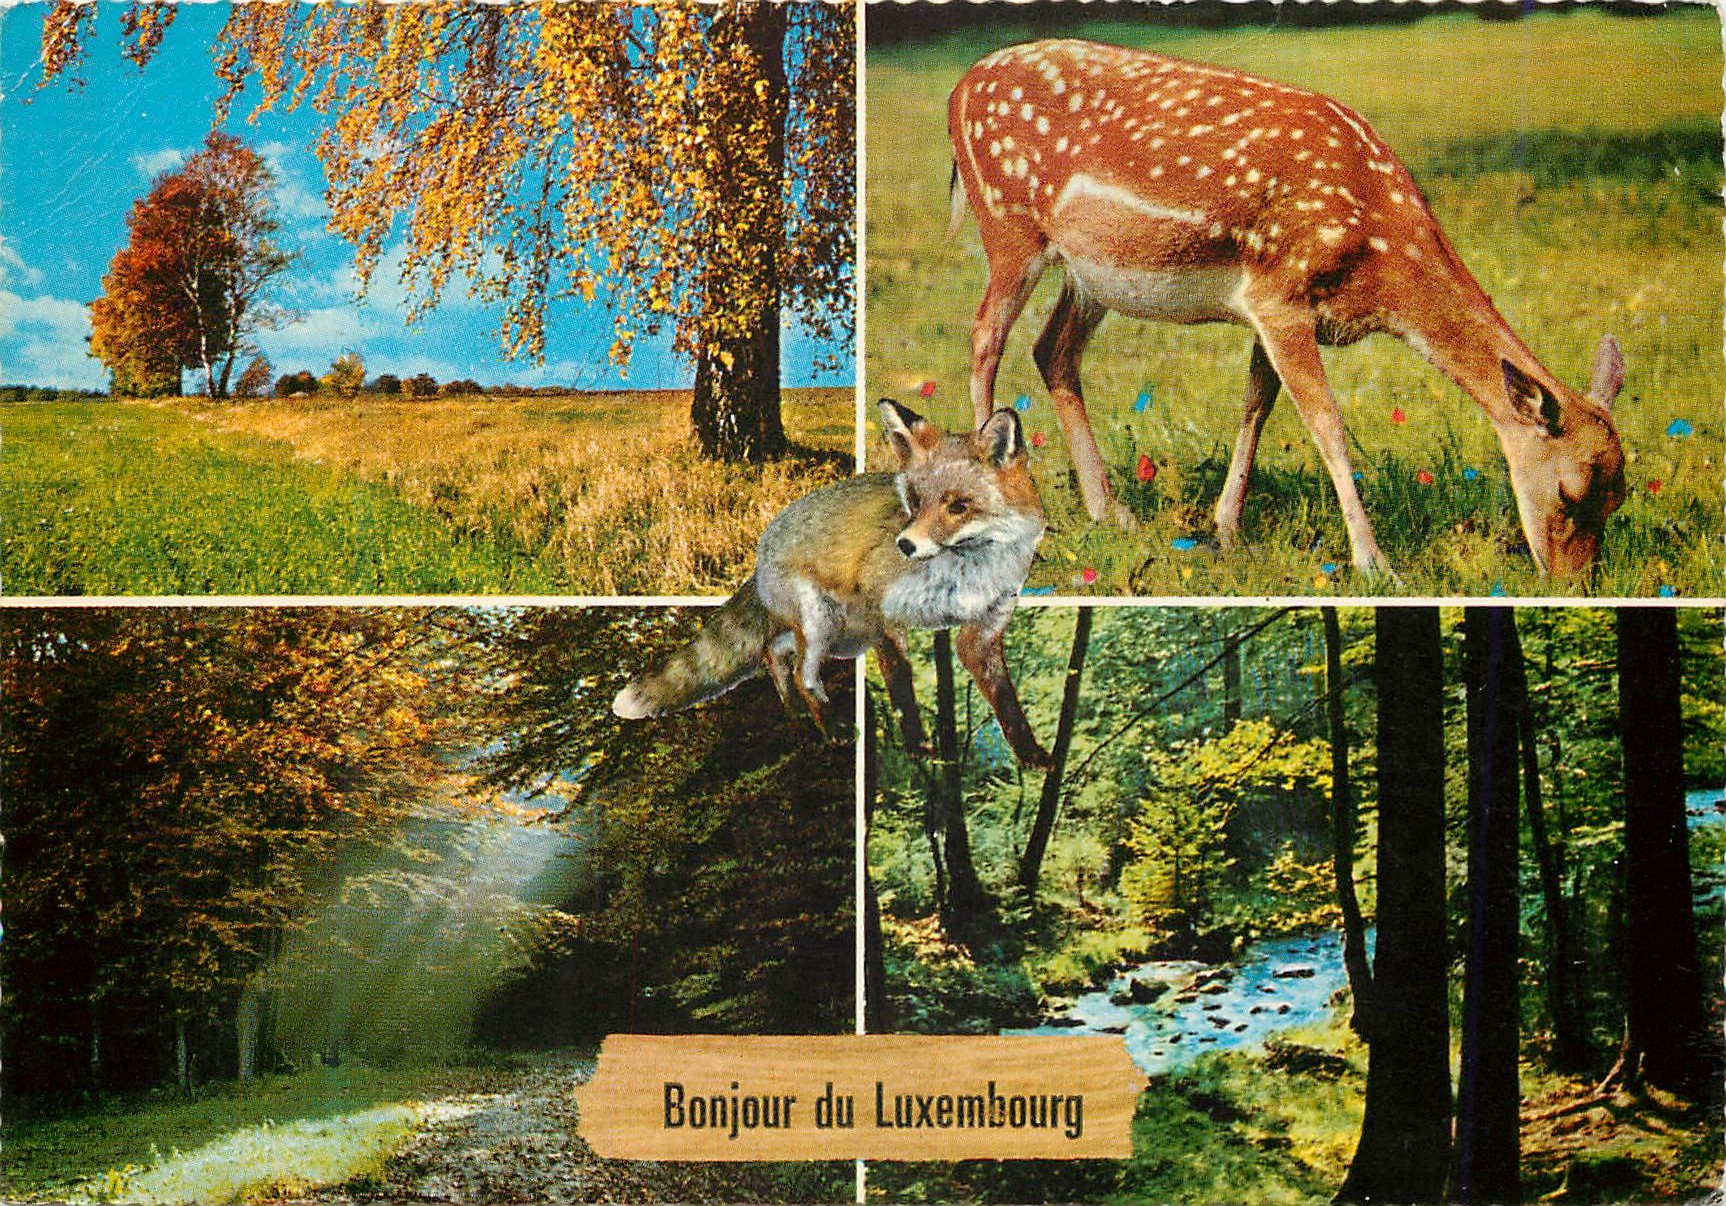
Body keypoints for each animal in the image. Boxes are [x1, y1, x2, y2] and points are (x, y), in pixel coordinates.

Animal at [612, 399, 1054, 769]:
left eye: (959, 506)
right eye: (913, 500)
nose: (905, 545)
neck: (967, 569)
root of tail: (760, 557)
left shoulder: (984, 630)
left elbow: (1007, 703)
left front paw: (1032, 756)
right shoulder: (884, 615)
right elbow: (902, 689)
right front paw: (917, 748)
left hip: (840, 636)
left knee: (773, 652)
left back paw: (793, 711)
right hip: (824, 624)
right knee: (801, 674)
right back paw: (832, 729)